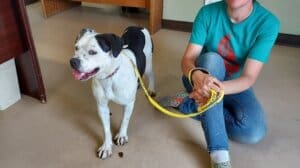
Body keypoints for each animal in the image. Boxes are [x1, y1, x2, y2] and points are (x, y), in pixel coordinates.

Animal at [69, 26, 156, 159]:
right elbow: (106, 128)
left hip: (148, 64)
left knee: (151, 75)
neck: (109, 77)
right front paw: (106, 146)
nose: (73, 61)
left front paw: (121, 135)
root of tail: (138, 27)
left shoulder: (129, 104)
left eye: (92, 52)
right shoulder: (102, 106)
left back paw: (151, 88)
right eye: (76, 48)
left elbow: (125, 120)